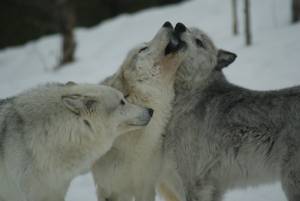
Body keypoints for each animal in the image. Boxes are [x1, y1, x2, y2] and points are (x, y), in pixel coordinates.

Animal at [159, 22, 300, 201]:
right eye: (188, 28)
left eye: (199, 42)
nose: (179, 25)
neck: (193, 93)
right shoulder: (214, 188)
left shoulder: (193, 184)